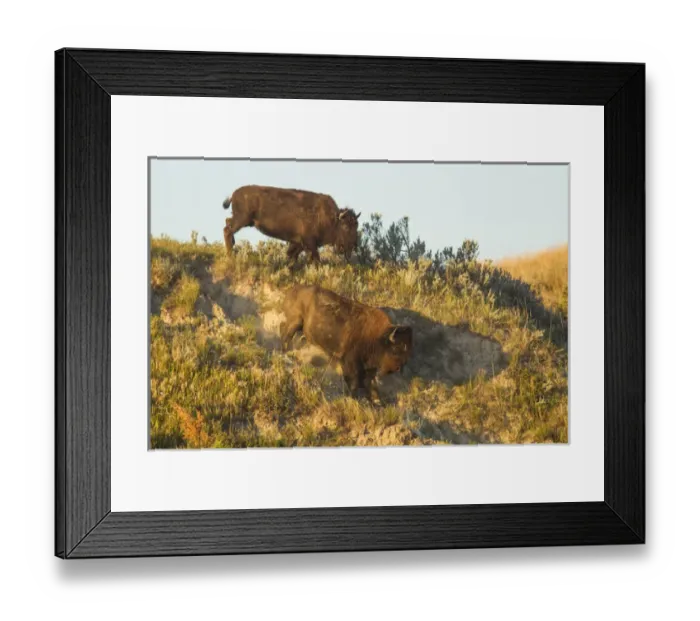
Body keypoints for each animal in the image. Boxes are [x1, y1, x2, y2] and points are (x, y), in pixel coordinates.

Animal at [222, 185, 361, 264]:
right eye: (345, 227)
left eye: (356, 226)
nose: (354, 245)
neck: (333, 219)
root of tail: (234, 194)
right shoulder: (309, 243)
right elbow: (315, 259)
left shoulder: (297, 243)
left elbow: (291, 256)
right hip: (242, 219)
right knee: (227, 229)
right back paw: (230, 255)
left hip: (245, 221)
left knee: (227, 222)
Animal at [280, 284, 413, 403]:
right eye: (395, 349)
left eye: (407, 355)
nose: (395, 369)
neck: (378, 338)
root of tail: (291, 290)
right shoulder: (351, 363)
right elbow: (354, 382)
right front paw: (356, 398)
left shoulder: (369, 369)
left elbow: (369, 383)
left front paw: (376, 400)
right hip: (295, 322)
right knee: (286, 337)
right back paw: (286, 354)